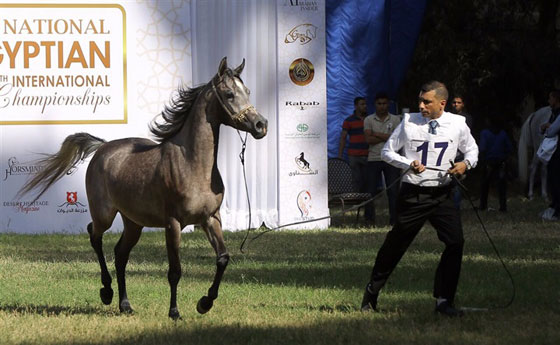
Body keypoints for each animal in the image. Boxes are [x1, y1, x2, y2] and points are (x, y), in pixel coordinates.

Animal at [18, 57, 268, 320]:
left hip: (134, 223)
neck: (193, 164)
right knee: (94, 235)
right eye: (229, 94)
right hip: (105, 215)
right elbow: (175, 271)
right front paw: (174, 312)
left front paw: (204, 303)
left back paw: (125, 305)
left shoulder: (210, 218)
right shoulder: (173, 224)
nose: (261, 125)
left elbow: (222, 258)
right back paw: (106, 292)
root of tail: (103, 148)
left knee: (120, 254)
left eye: (247, 91)